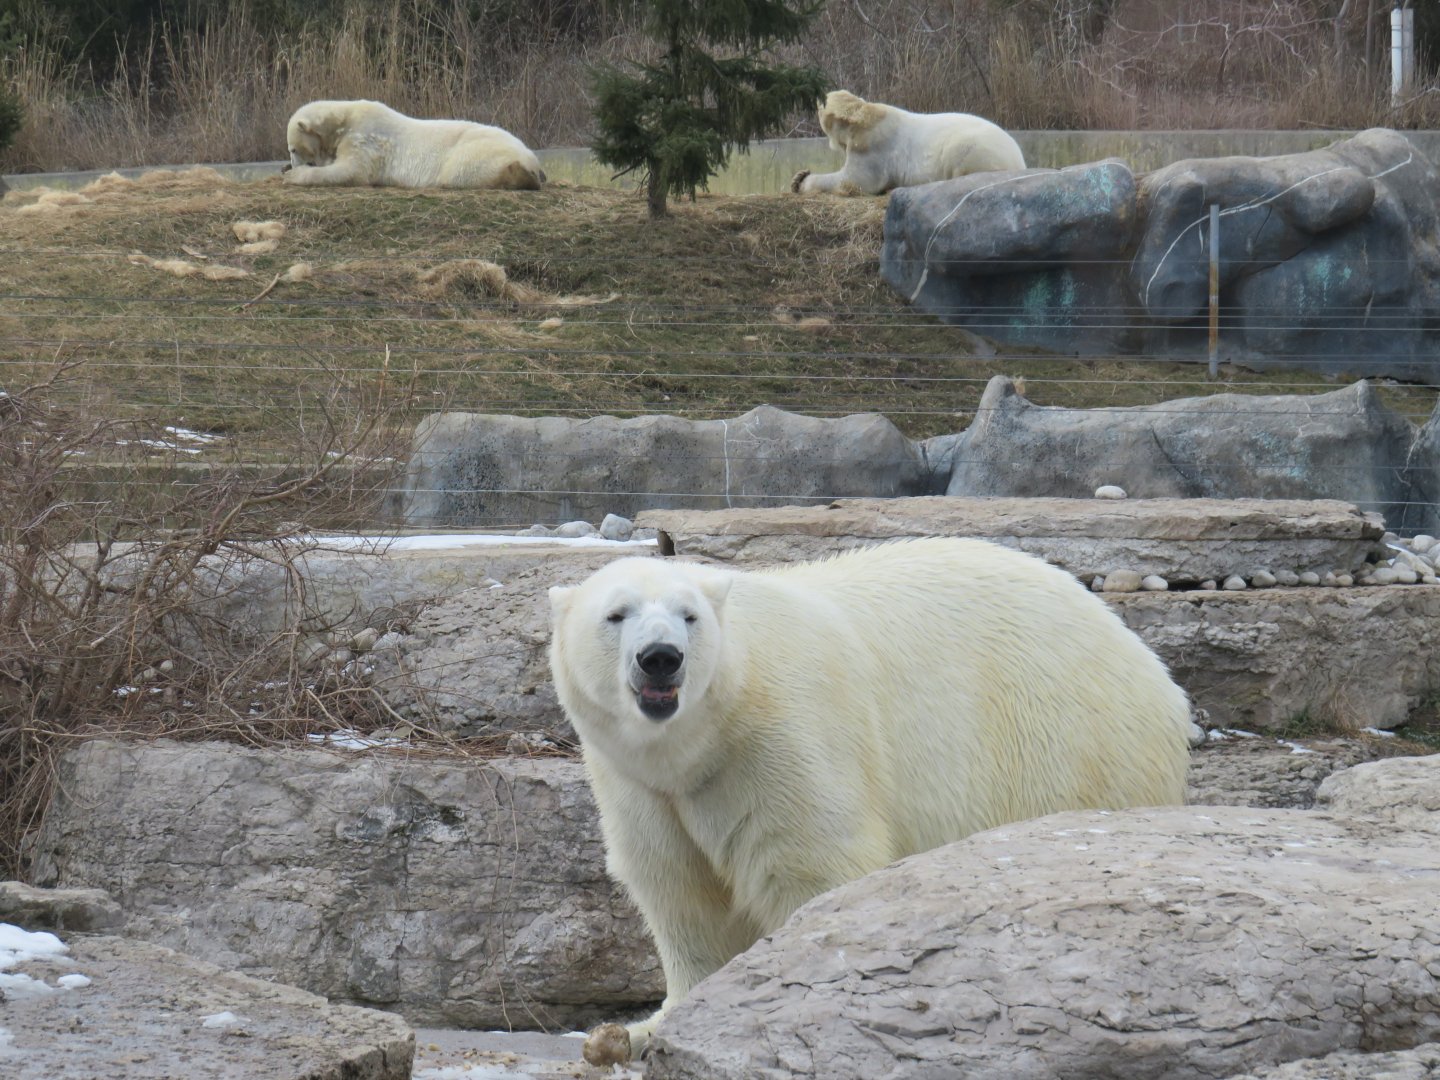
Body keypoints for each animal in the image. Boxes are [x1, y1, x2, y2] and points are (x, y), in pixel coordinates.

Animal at [283, 99, 545, 190]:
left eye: (293, 149)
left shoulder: (365, 137)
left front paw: (293, 175)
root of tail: (530, 155)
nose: (291, 164)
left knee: (458, 172)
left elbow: (352, 170)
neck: (343, 119)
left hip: (476, 152)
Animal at [548, 537, 1191, 1062]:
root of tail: (1152, 667)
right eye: (616, 614)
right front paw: (647, 1028)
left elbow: (811, 865)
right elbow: (679, 888)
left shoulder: (783, 737)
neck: (705, 737)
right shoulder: (642, 785)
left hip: (1062, 740)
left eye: (690, 617)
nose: (661, 657)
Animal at [791, 89, 1025, 196]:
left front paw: (800, 181)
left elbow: (855, 180)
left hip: (977, 149)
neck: (865, 118)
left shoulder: (873, 146)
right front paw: (800, 174)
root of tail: (1020, 160)